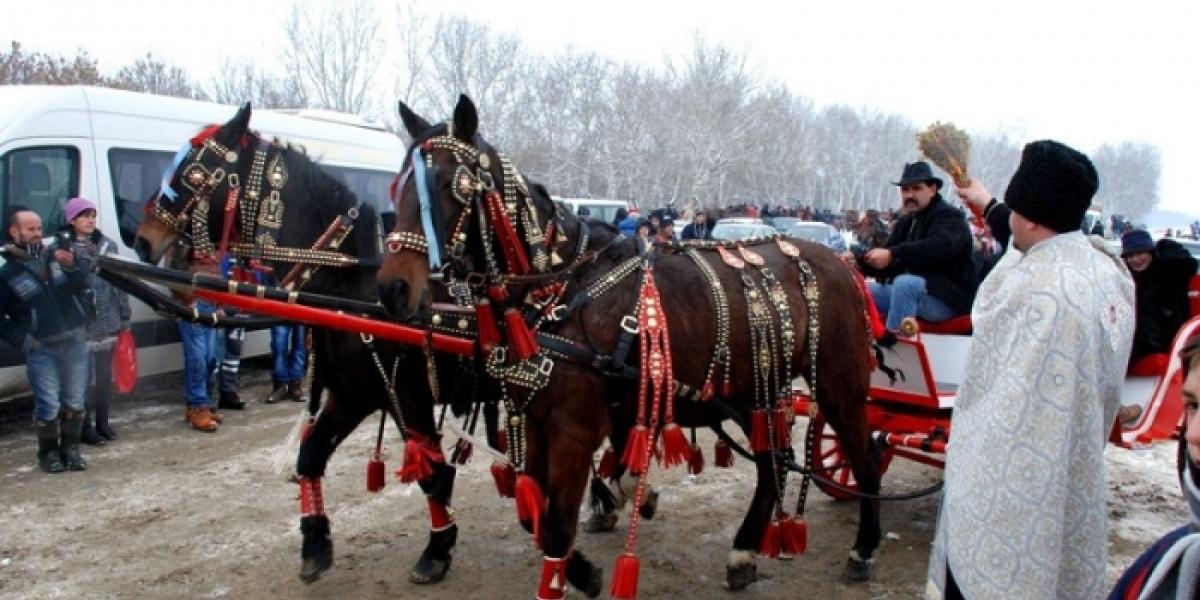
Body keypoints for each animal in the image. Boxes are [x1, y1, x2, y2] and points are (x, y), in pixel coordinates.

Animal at [132, 104, 474, 586]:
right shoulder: (351, 394)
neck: (352, 286)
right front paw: (314, 542)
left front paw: (437, 548)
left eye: (195, 172)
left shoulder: (407, 395)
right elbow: (310, 457)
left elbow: (432, 472)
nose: (142, 239)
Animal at [377, 95, 882, 598]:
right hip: (754, 386)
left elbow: (556, 525)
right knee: (773, 461)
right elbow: (533, 515)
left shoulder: (574, 430)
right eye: (398, 188)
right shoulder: (535, 420)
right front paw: (583, 565)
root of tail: (841, 262)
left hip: (839, 386)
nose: (392, 289)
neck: (563, 284)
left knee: (863, 457)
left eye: (450, 185)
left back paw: (863, 549)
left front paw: (572, 568)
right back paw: (744, 551)